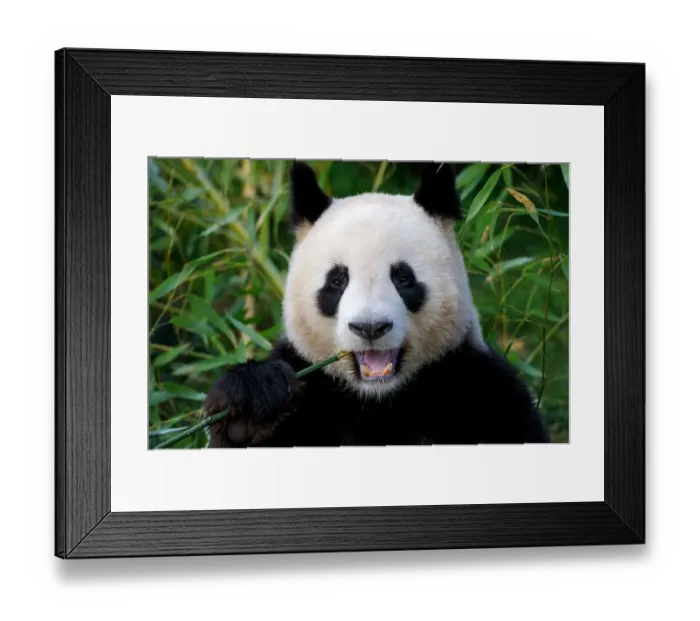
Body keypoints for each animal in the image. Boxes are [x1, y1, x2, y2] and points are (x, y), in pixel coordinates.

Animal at [203, 161, 550, 447]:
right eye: (337, 281)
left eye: (403, 278)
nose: (370, 327)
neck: (378, 399)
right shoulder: (310, 388)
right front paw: (251, 403)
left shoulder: (476, 386)